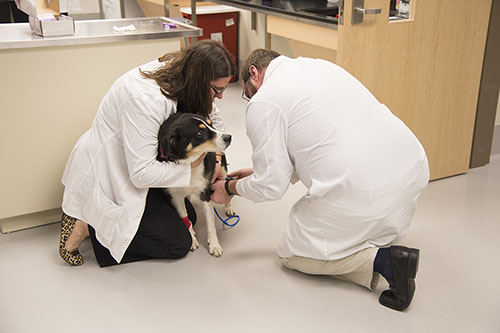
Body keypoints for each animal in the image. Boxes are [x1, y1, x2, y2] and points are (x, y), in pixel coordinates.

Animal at [157, 112, 233, 256]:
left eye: (211, 124)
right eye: (199, 132)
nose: (229, 137)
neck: (190, 165)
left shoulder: (205, 192)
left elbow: (210, 222)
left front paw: (214, 244)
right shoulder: (175, 196)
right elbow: (184, 216)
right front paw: (192, 238)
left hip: (223, 170)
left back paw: (229, 208)